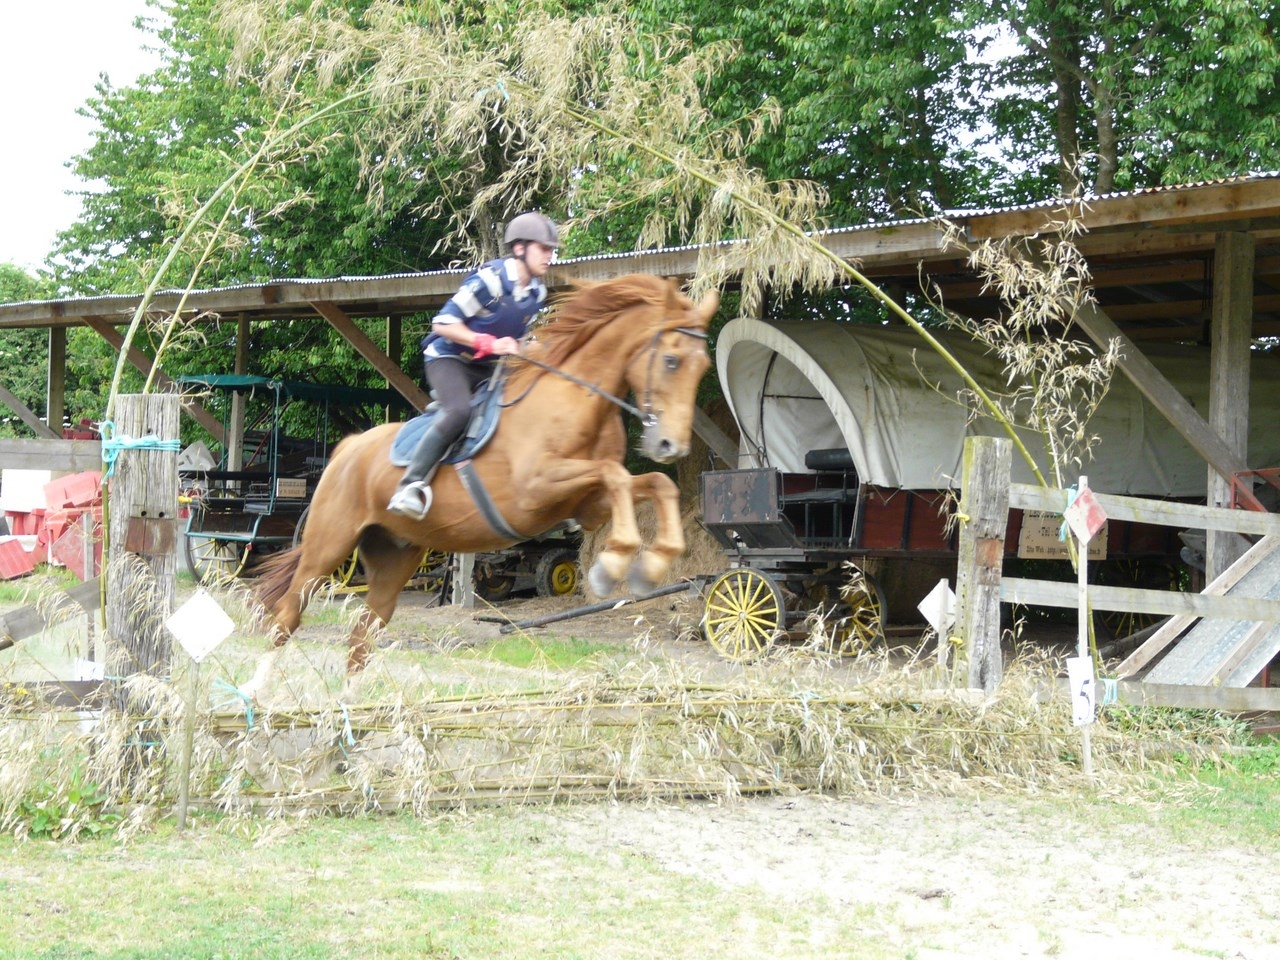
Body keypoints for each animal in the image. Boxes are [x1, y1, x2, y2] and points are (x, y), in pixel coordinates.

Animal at [244, 273, 716, 686]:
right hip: (328, 546)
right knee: (288, 616)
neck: (576, 402)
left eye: (703, 366)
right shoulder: (535, 490)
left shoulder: (588, 505)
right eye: (671, 360)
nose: (671, 445)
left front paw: (650, 564)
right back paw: (260, 696)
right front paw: (612, 566)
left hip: (393, 555)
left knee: (364, 635)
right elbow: (616, 474)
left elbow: (654, 483)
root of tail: (348, 449)